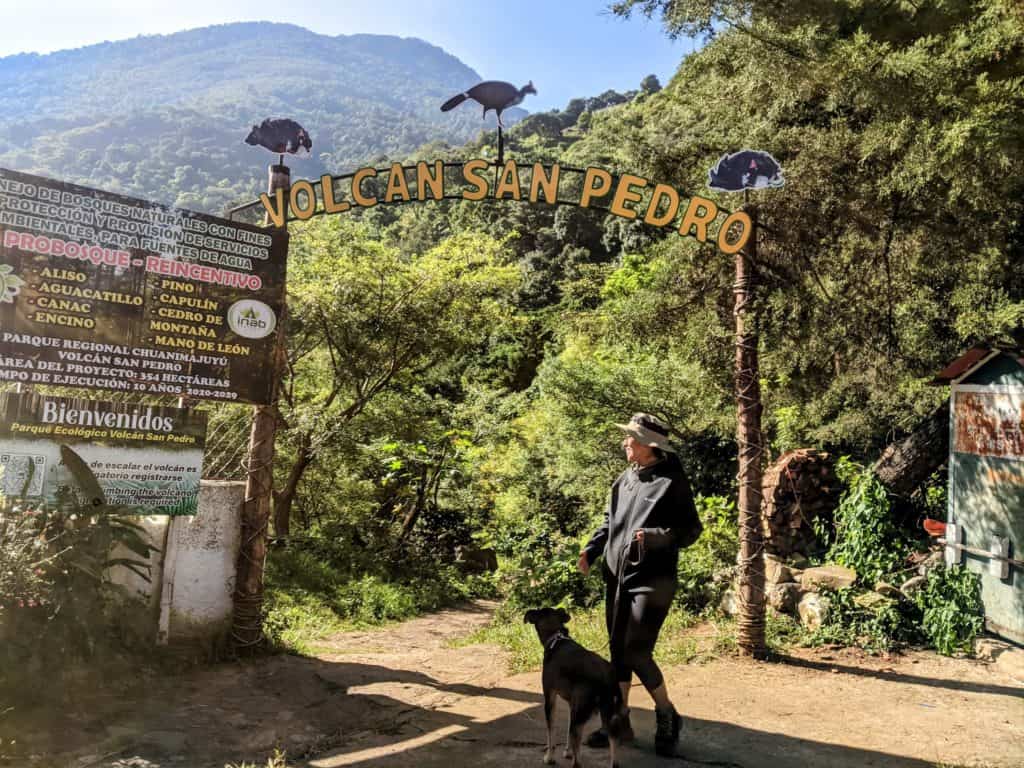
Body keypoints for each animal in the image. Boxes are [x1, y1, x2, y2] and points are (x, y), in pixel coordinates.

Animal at [528, 610, 622, 765]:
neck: (556, 639)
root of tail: (605, 676)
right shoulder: (572, 705)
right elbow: (568, 731)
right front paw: (568, 751)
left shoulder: (550, 698)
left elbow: (551, 732)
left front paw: (549, 757)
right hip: (607, 715)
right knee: (614, 753)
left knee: (578, 763)